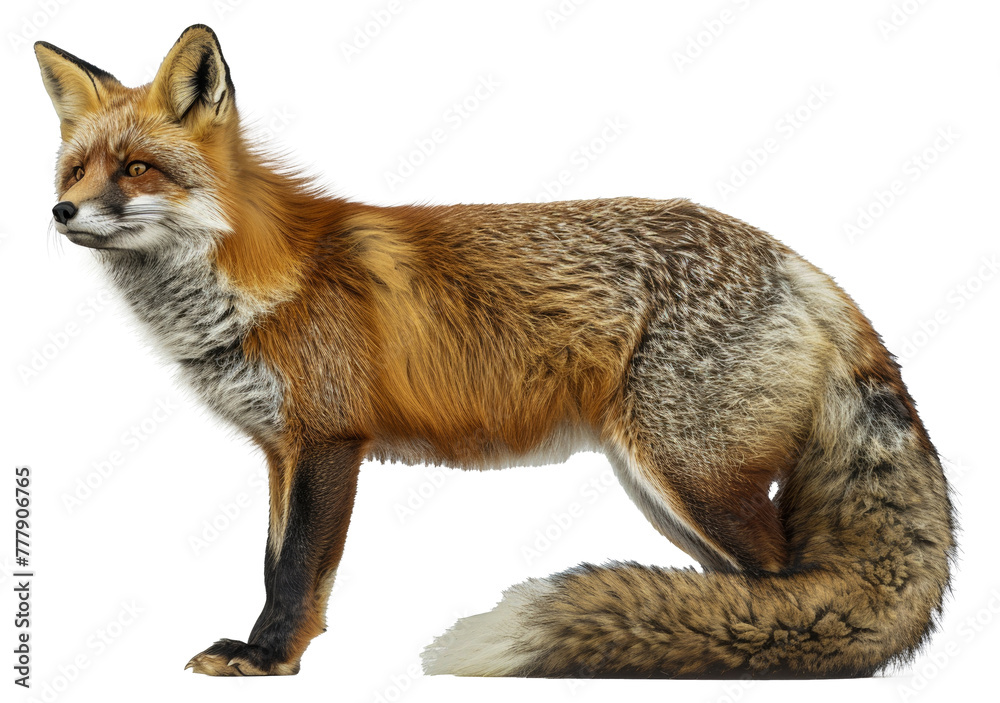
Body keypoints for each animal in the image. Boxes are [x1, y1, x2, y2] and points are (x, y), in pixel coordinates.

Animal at [35, 24, 954, 678]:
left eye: (138, 168)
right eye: (75, 170)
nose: (61, 213)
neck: (260, 276)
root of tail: (796, 262)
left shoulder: (330, 440)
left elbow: (296, 570)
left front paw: (268, 659)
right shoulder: (279, 450)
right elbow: (274, 565)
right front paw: (271, 650)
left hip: (693, 475)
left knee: (792, 595)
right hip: (665, 487)